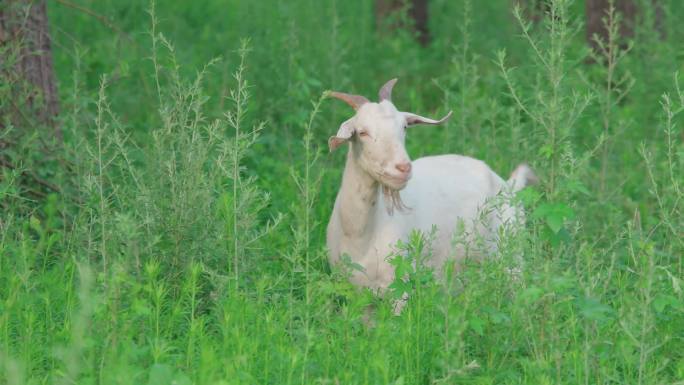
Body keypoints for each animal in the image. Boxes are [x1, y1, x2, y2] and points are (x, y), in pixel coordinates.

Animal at [324, 79, 536, 296]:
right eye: (362, 132)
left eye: (404, 127)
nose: (403, 167)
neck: (359, 236)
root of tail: (508, 184)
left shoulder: (400, 283)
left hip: (511, 252)